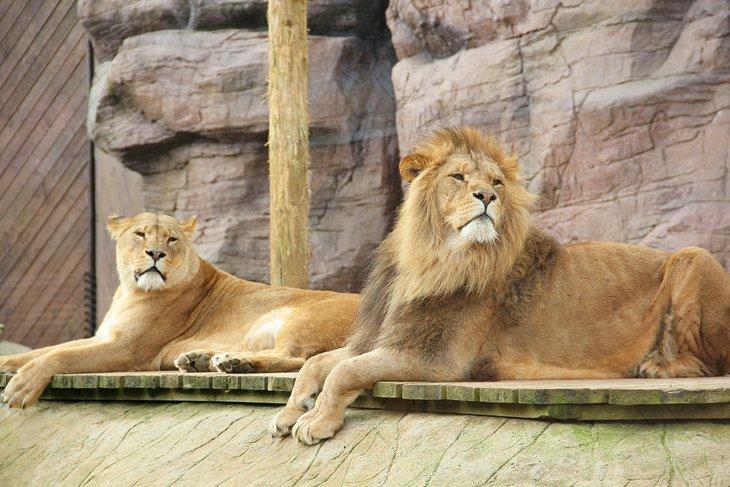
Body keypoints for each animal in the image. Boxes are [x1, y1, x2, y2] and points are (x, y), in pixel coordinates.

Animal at [0, 212, 358, 408]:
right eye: (140, 234)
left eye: (172, 239)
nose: (156, 253)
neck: (130, 290)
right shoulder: (102, 337)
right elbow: (48, 349)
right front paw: (7, 363)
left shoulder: (126, 349)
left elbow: (60, 355)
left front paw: (21, 387)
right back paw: (203, 360)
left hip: (301, 320)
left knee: (296, 359)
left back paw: (234, 363)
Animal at [270, 125, 730, 444]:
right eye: (458, 177)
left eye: (496, 182)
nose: (486, 197)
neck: (428, 258)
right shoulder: (379, 338)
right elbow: (318, 363)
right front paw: (290, 412)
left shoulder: (436, 359)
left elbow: (344, 371)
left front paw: (316, 421)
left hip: (694, 257)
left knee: (708, 362)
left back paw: (651, 365)